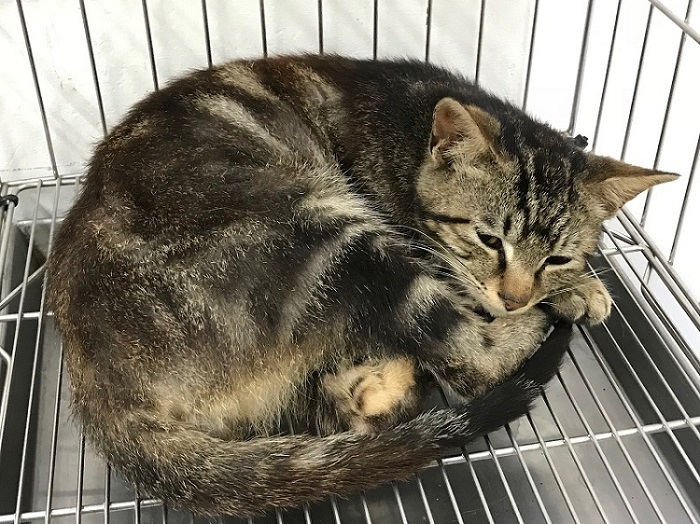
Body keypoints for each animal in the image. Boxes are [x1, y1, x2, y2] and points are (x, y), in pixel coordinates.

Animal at [46, 55, 677, 516]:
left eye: (559, 255)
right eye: (488, 239)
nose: (517, 297)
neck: (410, 131)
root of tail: (102, 397)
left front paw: (577, 285)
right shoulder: (420, 247)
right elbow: (465, 290)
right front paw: (568, 297)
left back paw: (382, 384)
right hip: (326, 233)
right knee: (472, 361)